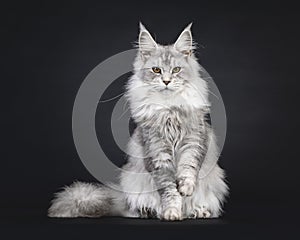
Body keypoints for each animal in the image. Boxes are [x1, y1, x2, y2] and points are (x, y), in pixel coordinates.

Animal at [48, 23, 229, 220]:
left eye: (176, 70)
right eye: (156, 70)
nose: (166, 81)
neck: (168, 108)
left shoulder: (194, 140)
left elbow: (188, 168)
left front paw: (186, 189)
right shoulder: (157, 152)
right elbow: (169, 189)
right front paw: (172, 212)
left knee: (199, 205)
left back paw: (199, 211)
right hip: (132, 182)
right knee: (136, 207)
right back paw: (149, 211)